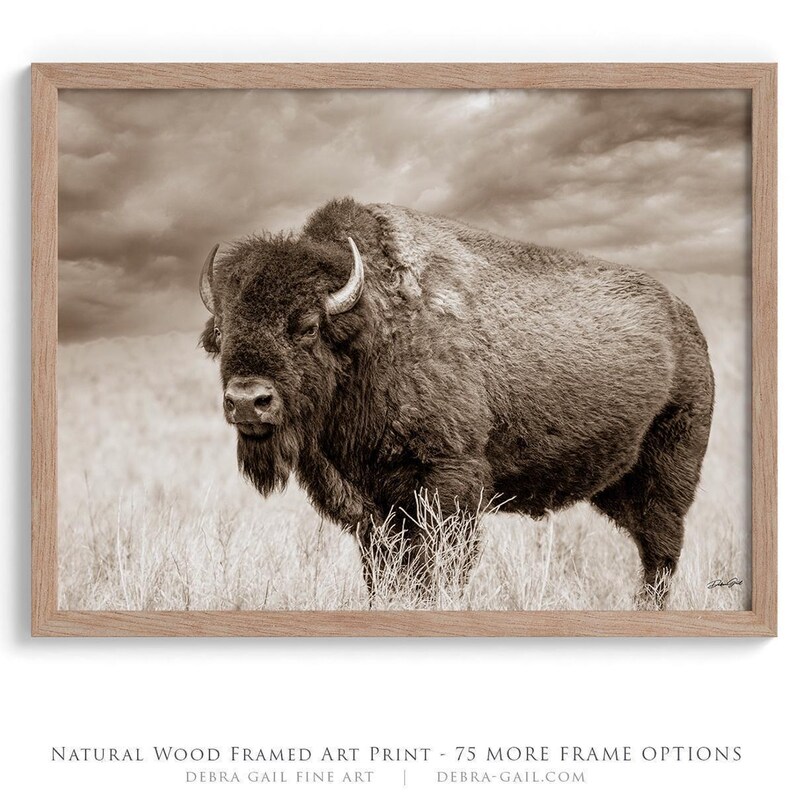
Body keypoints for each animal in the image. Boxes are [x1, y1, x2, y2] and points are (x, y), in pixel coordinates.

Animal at [198, 198, 714, 609]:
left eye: (306, 326)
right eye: (221, 333)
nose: (248, 401)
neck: (373, 330)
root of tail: (687, 322)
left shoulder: (448, 480)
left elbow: (438, 565)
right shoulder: (371, 505)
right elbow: (384, 570)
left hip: (669, 471)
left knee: (661, 549)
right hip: (617, 485)